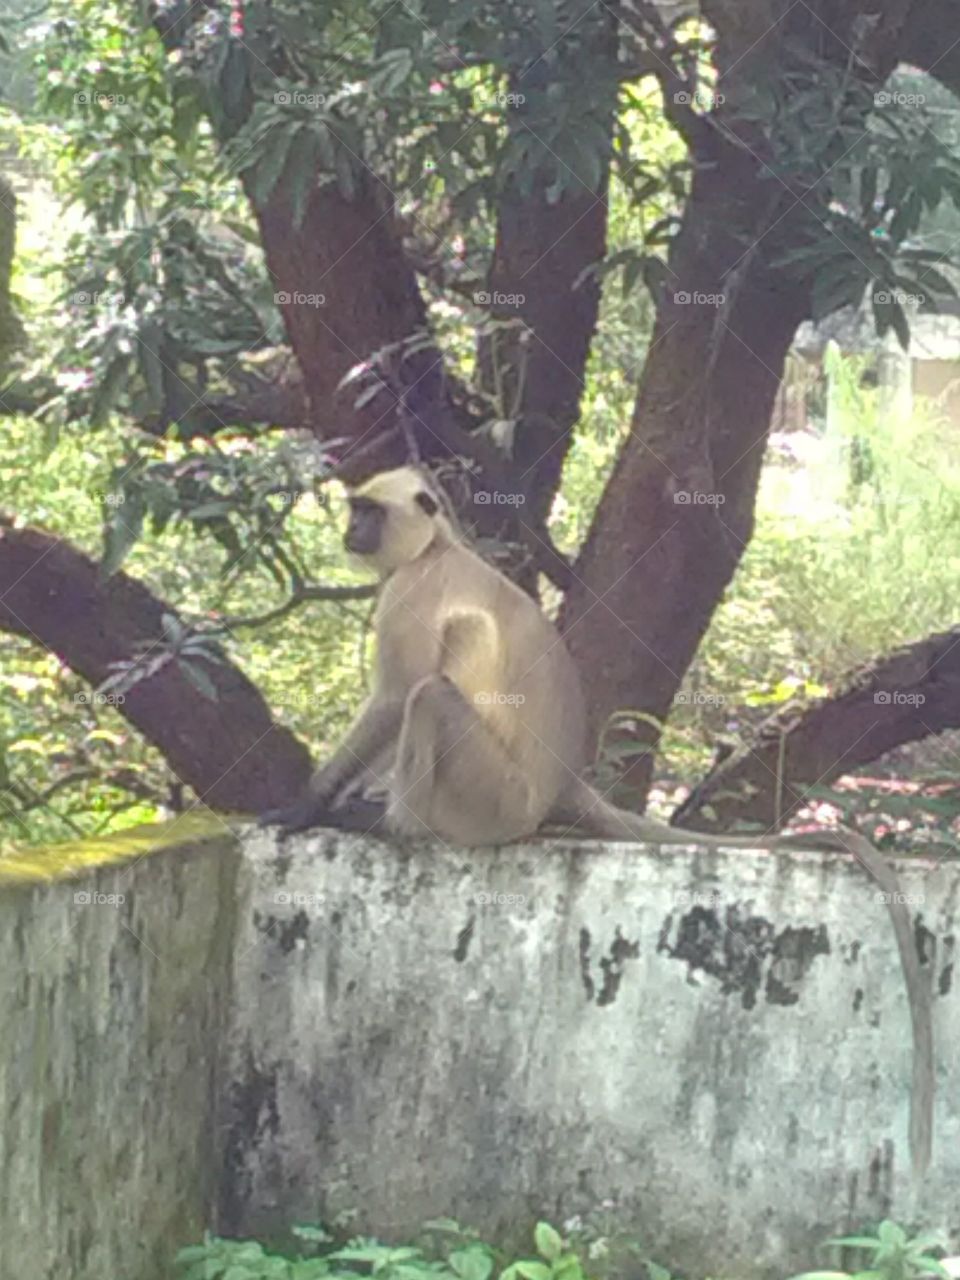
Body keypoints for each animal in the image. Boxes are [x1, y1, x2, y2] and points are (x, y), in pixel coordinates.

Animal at [259, 465, 933, 1179]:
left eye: (369, 512)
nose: (351, 530)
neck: (438, 548)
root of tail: (559, 783)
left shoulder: (410, 593)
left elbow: (393, 698)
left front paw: (309, 804)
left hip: (489, 797)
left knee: (430, 695)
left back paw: (393, 826)